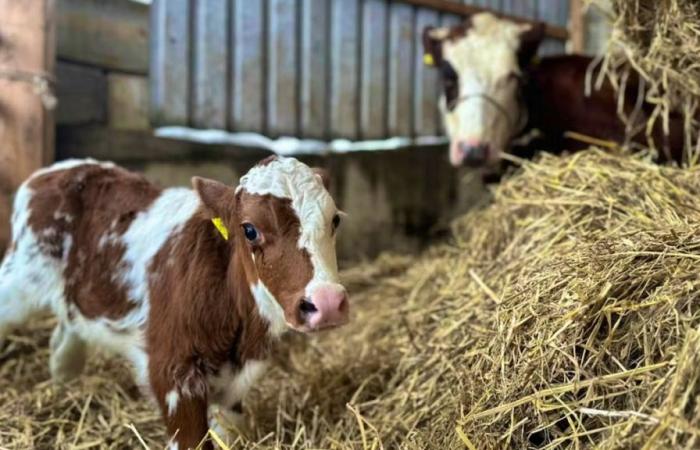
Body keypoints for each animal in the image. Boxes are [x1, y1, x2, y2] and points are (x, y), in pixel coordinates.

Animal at [0, 156, 350, 448]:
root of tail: (55, 170)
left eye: (335, 221)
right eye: (250, 230)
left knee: (64, 339)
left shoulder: (237, 384)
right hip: (20, 278)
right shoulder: (171, 371)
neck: (240, 335)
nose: (327, 302)